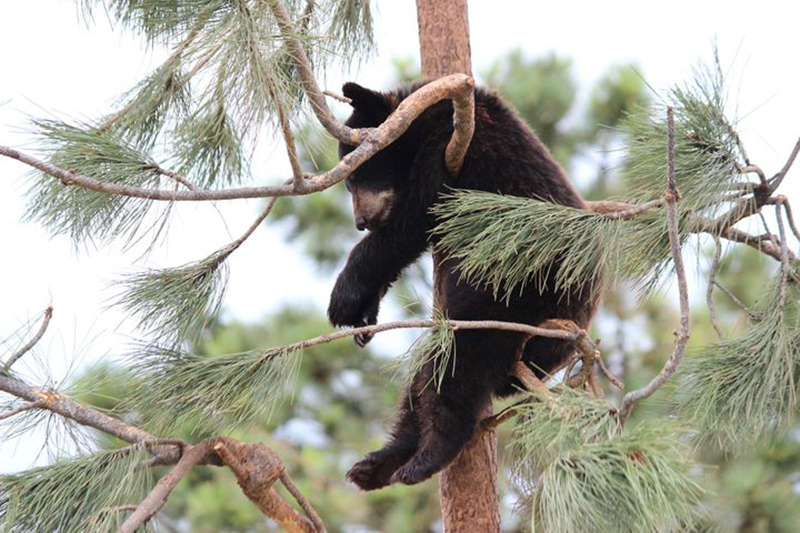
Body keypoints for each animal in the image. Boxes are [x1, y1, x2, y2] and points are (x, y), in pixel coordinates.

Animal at [327, 80, 600, 490]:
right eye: (348, 183)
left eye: (357, 177)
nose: (361, 220)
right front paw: (364, 318)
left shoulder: (454, 147)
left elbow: (411, 222)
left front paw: (343, 300)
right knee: (426, 371)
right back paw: (378, 464)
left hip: (515, 293)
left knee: (461, 361)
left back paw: (428, 456)